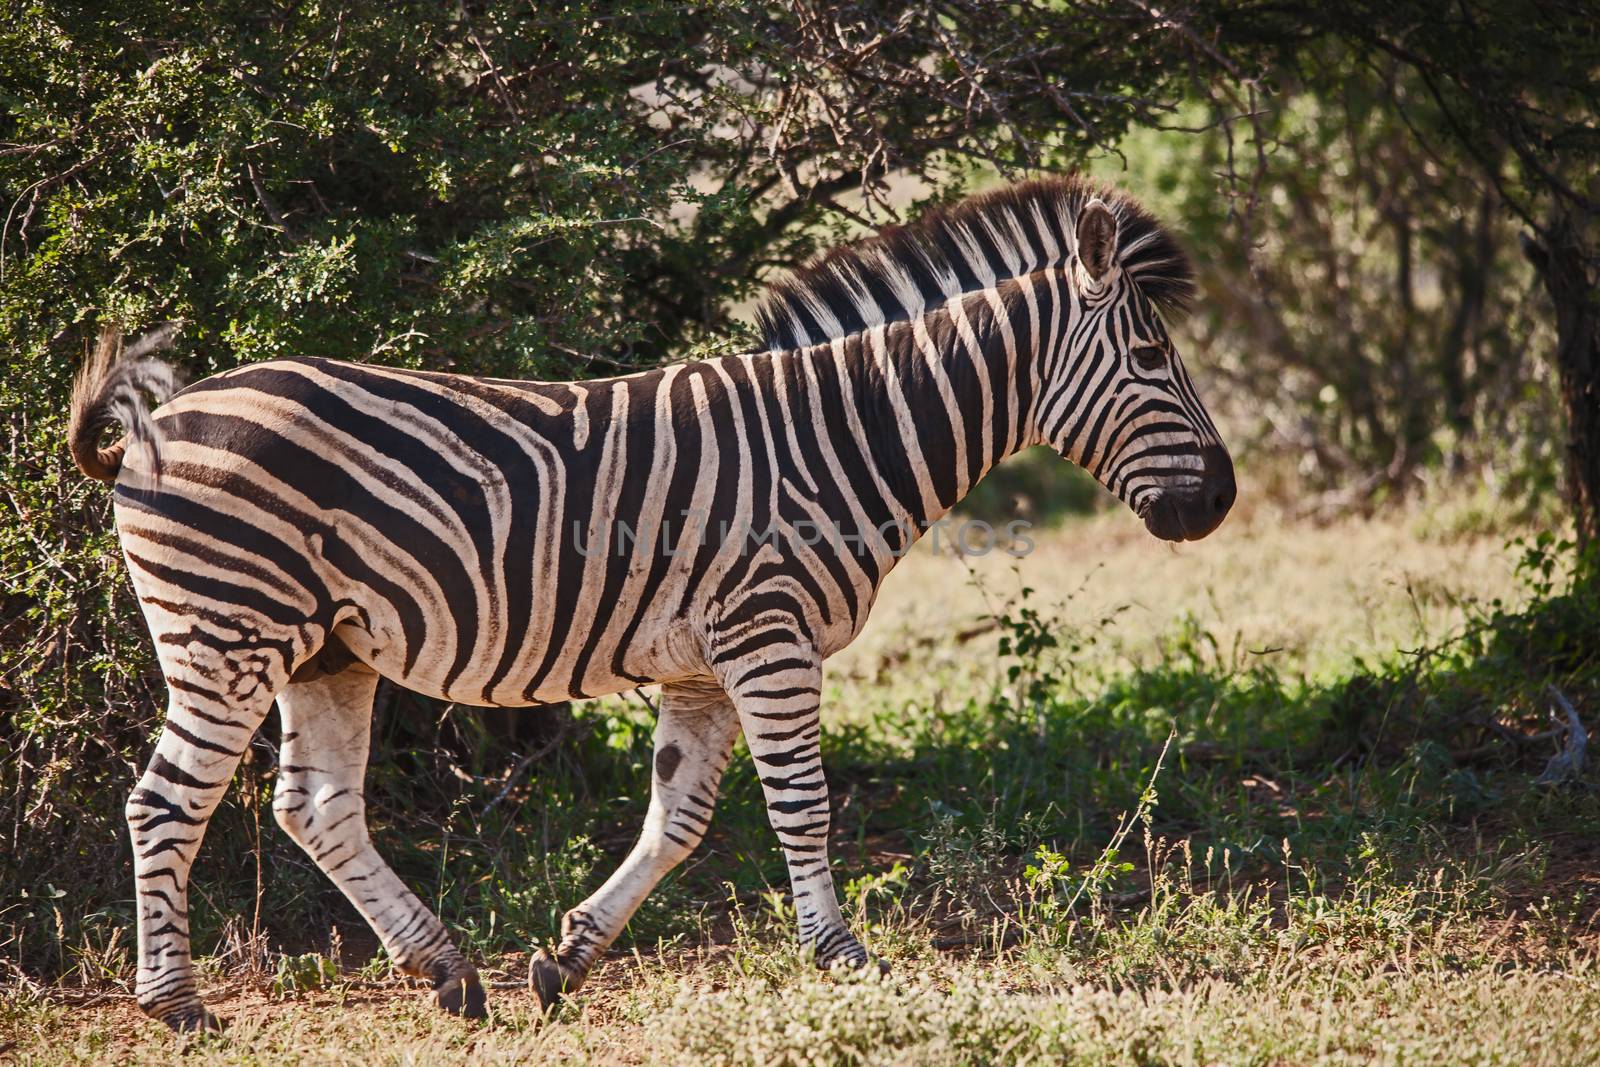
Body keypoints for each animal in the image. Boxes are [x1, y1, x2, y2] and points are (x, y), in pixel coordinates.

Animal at [68, 177, 1228, 1036]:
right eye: (1149, 358)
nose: (1216, 501)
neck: (841, 438)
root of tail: (154, 422)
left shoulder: (705, 663)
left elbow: (678, 818)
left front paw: (567, 957)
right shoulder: (770, 635)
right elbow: (801, 806)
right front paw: (844, 959)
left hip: (326, 648)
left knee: (315, 805)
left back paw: (449, 973)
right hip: (228, 629)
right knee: (165, 802)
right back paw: (179, 1006)